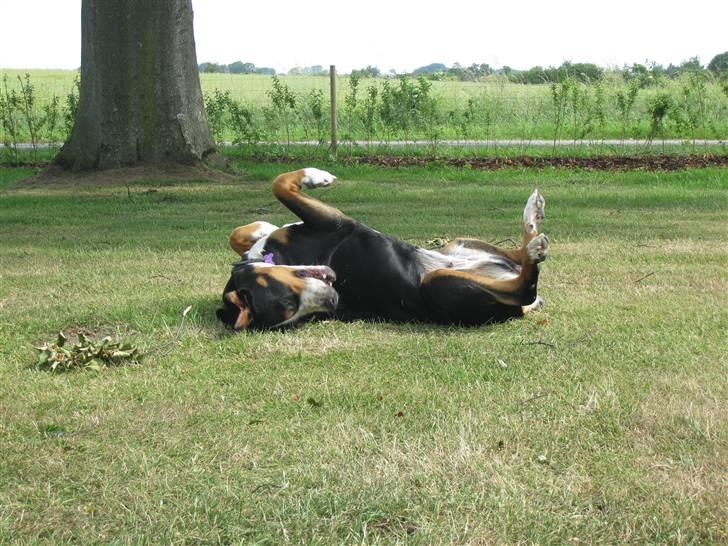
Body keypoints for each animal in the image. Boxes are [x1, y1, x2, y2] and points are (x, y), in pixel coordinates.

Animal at [219, 167, 548, 328]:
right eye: (291, 308)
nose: (333, 301)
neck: (277, 258)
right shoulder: (337, 223)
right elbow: (279, 184)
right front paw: (316, 176)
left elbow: (238, 233)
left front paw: (260, 227)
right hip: (439, 282)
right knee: (525, 283)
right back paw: (534, 246)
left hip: (455, 243)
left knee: (516, 255)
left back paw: (531, 219)